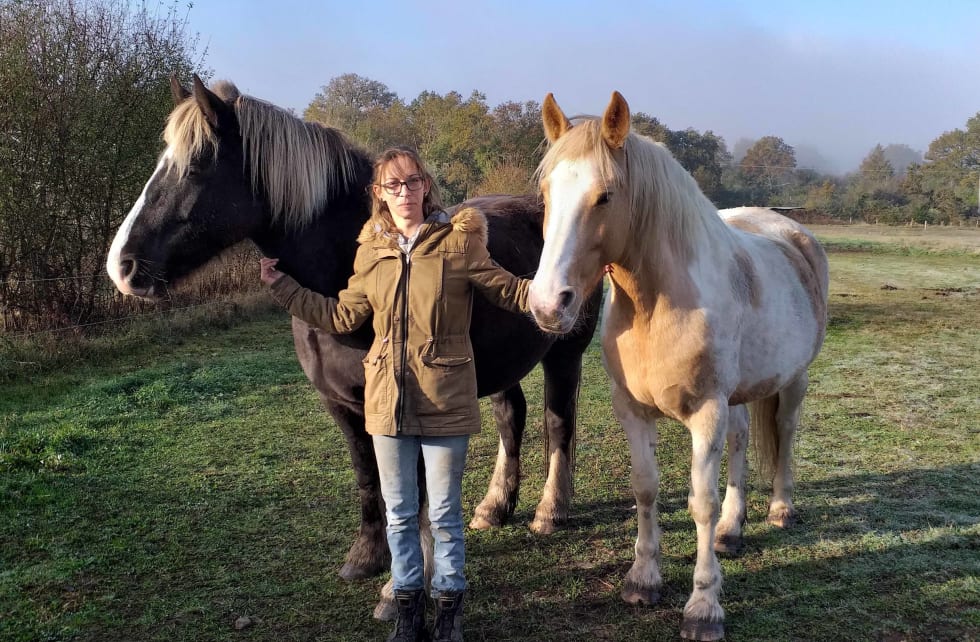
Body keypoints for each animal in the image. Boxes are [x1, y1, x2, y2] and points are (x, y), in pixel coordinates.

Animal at [103, 75, 600, 616]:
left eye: (195, 167)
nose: (122, 267)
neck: (346, 274)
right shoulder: (343, 405)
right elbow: (369, 479)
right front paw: (367, 557)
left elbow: (413, 490)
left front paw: (402, 586)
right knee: (512, 418)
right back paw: (494, 507)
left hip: (565, 353)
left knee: (558, 422)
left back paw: (550, 511)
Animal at [528, 92, 828, 636]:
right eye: (545, 195)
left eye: (605, 196)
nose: (547, 305)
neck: (657, 306)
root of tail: (793, 232)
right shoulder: (633, 411)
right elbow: (646, 490)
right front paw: (643, 579)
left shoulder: (705, 412)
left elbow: (700, 503)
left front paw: (704, 607)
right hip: (738, 394)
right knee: (741, 440)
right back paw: (732, 530)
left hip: (793, 382)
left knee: (785, 433)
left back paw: (779, 509)